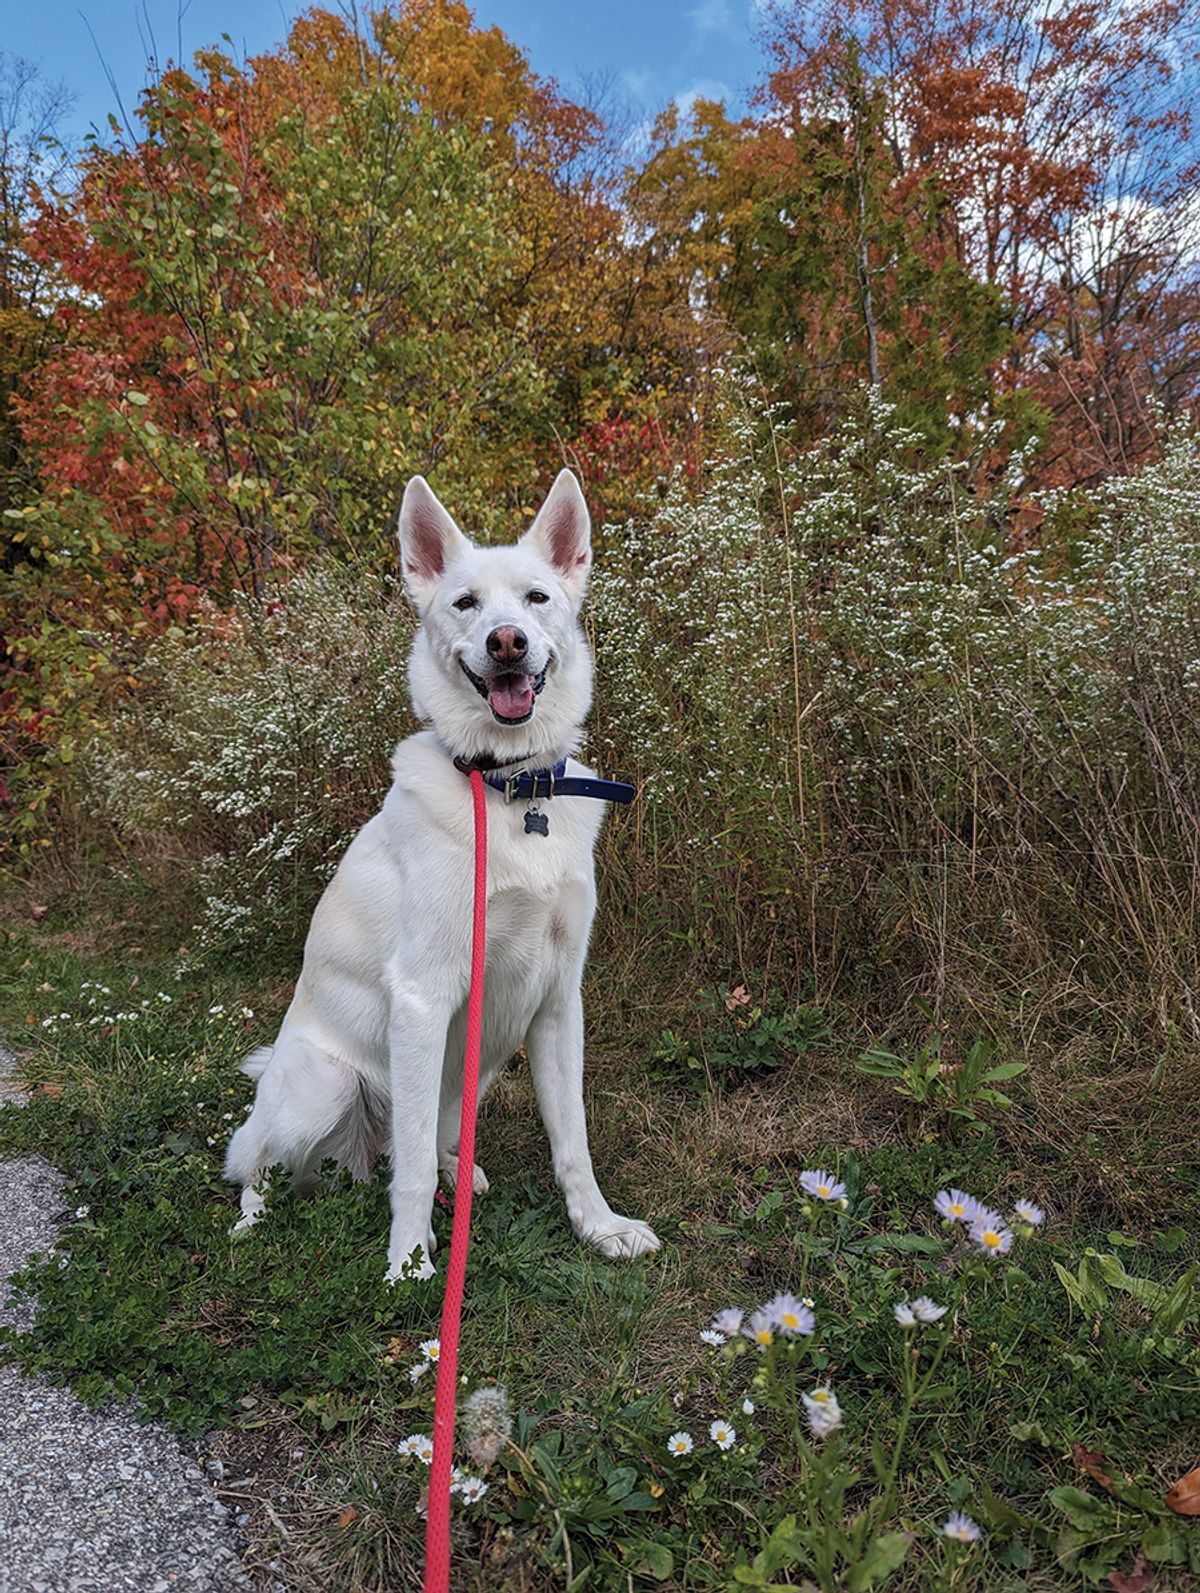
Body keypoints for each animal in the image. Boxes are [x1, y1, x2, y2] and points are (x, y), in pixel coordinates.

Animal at [219, 468, 659, 1280]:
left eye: (536, 598)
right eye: (465, 603)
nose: (507, 641)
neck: (512, 790)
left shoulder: (559, 1000)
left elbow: (572, 1139)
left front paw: (600, 1227)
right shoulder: (424, 997)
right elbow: (414, 1172)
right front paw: (409, 1266)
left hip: (472, 1073)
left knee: (421, 1144)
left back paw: (462, 1172)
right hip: (326, 1085)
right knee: (266, 1161)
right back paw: (252, 1220)